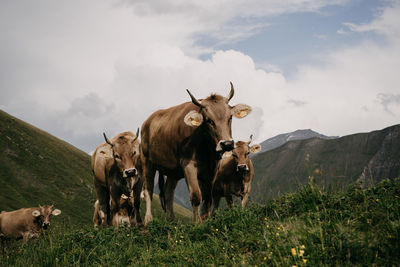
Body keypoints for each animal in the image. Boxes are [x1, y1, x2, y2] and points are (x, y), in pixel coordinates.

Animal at [141, 82, 252, 225]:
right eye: (209, 120)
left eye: (230, 117)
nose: (227, 144)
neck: (206, 149)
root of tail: (148, 121)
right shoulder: (188, 165)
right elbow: (196, 196)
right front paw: (197, 223)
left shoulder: (212, 169)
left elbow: (207, 197)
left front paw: (205, 220)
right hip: (147, 162)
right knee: (148, 189)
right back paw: (148, 219)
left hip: (172, 171)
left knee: (168, 193)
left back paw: (171, 220)